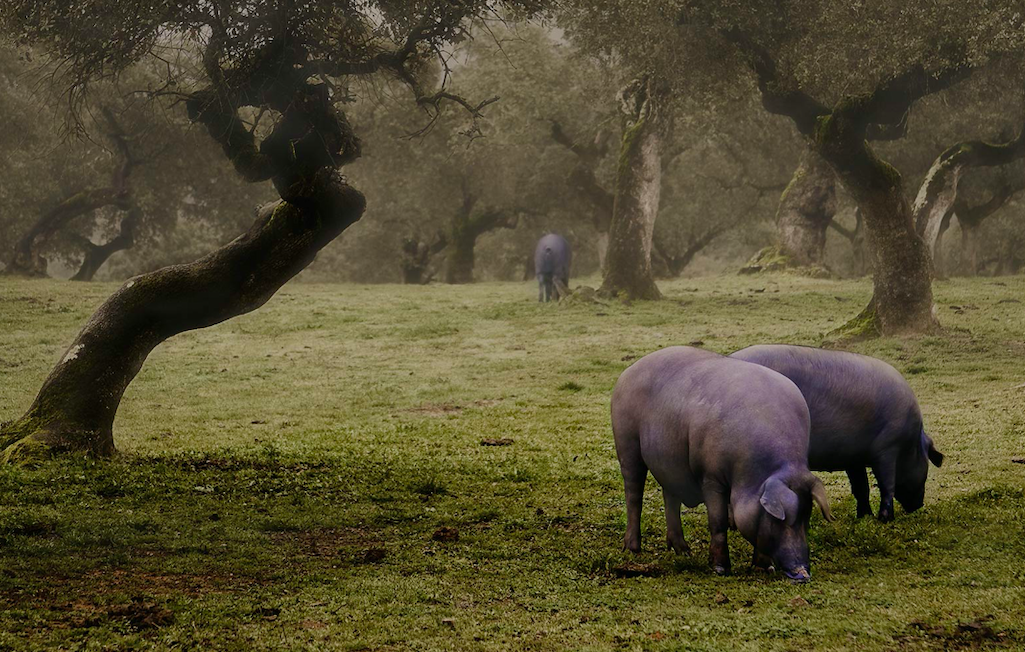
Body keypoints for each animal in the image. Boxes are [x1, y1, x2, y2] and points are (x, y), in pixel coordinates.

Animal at [606, 346, 832, 582]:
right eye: (780, 519)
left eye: (806, 517)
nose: (803, 573)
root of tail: (627, 372)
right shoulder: (711, 477)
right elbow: (718, 520)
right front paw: (720, 568)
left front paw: (765, 568)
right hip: (627, 444)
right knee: (633, 494)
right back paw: (633, 549)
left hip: (670, 463)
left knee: (670, 498)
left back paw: (683, 551)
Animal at [733, 344, 938, 522]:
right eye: (926, 462)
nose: (919, 505)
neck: (911, 442)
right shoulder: (888, 448)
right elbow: (887, 484)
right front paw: (885, 520)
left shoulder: (854, 458)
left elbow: (861, 487)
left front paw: (864, 517)